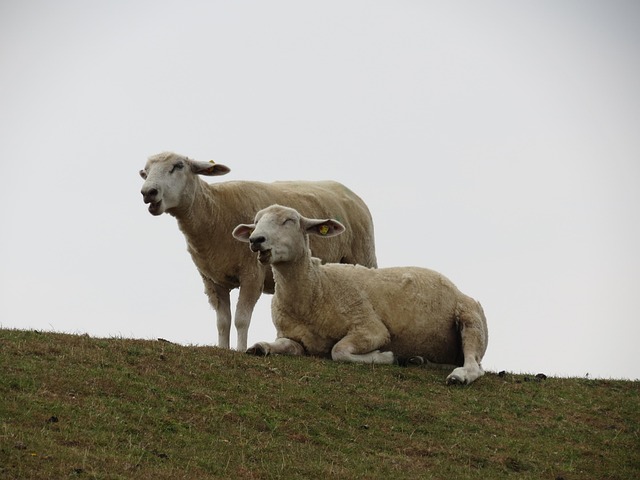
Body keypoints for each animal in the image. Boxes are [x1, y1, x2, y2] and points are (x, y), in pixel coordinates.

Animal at [139, 152, 377, 351]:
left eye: (178, 166)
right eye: (145, 172)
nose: (148, 192)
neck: (214, 213)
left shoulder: (252, 273)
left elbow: (241, 319)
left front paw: (241, 350)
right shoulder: (212, 280)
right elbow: (222, 322)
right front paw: (223, 349)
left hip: (364, 255)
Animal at [232, 204, 489, 385]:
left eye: (290, 221)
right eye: (255, 222)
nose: (256, 240)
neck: (317, 287)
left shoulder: (370, 328)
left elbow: (338, 351)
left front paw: (387, 357)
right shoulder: (293, 336)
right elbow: (281, 346)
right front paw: (259, 347)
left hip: (470, 318)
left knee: (475, 364)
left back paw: (458, 376)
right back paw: (419, 361)